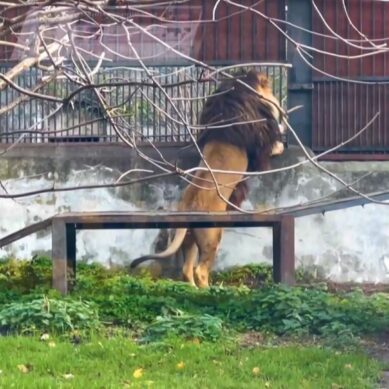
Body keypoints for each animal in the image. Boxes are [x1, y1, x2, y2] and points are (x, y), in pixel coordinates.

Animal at [130, 69, 284, 286]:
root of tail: (186, 208)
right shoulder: (259, 146)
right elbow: (273, 146)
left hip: (189, 240)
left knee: (186, 270)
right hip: (212, 235)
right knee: (200, 270)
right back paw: (211, 289)